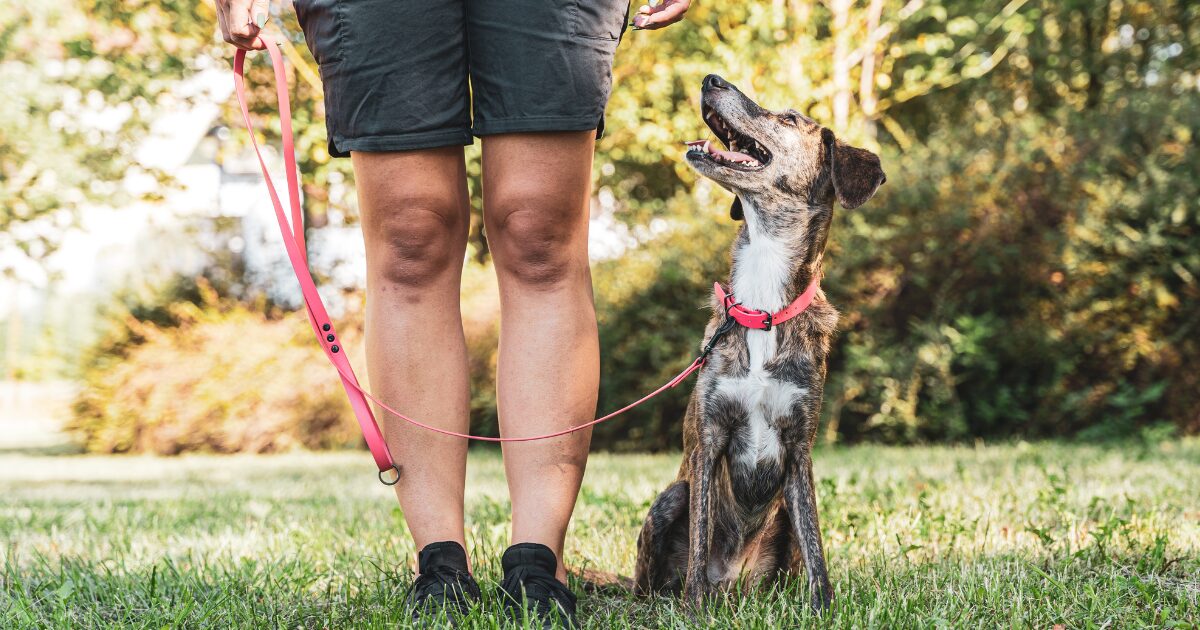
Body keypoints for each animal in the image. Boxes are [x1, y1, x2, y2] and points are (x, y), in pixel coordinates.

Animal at [633, 72, 888, 609]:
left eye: (789, 119)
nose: (711, 78)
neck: (762, 306)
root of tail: (735, 584)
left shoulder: (799, 446)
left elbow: (815, 543)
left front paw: (822, 606)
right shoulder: (709, 438)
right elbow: (701, 532)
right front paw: (694, 608)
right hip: (670, 498)